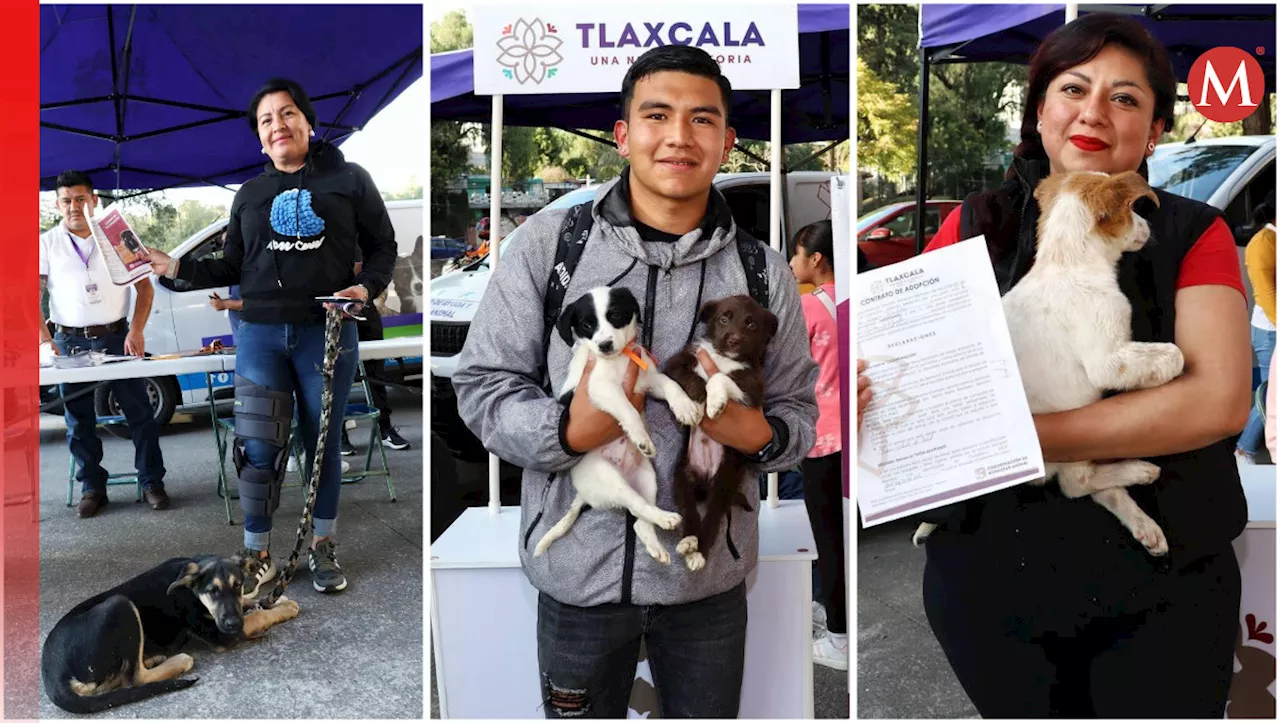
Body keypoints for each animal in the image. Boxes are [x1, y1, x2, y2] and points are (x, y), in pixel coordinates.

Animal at [40, 552, 302, 711]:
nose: (232, 624)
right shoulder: (219, 634)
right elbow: (258, 616)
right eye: (213, 591)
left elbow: (250, 604)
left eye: (237, 586)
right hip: (119, 604)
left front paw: (275, 600)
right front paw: (282, 608)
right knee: (134, 678)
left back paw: (153, 657)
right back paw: (178, 661)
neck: (191, 589)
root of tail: (52, 674)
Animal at [535, 282, 706, 563]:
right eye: (587, 325)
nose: (604, 345)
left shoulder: (649, 380)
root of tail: (583, 493)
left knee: (638, 519)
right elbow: (628, 410)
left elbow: (672, 385)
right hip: (608, 477)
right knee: (635, 504)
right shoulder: (601, 388)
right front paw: (641, 437)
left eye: (615, 315)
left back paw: (657, 543)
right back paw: (666, 518)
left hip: (647, 478)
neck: (619, 359)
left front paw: (685, 408)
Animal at [665, 293, 773, 570]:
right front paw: (696, 398)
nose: (734, 340)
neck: (724, 357)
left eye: (751, 324)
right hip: (681, 479)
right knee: (690, 513)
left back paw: (699, 553)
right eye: (724, 319)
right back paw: (689, 542)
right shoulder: (678, 362)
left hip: (722, 486)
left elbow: (720, 378)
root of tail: (704, 481)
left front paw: (714, 401)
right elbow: (687, 376)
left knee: (712, 522)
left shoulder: (752, 389)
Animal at [916, 171, 1182, 555]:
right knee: (1077, 484)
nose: (1148, 226)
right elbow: (1173, 353)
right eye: (1133, 211)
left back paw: (1143, 524)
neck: (1066, 262)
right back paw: (1137, 471)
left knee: (1092, 489)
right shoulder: (1106, 359)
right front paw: (1169, 370)